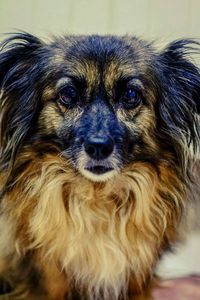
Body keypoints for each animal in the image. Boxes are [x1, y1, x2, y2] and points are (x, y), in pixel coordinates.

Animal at [0, 31, 199, 298]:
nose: (98, 147)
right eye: (68, 95)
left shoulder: (137, 279)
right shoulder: (48, 279)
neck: (97, 197)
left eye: (131, 96)